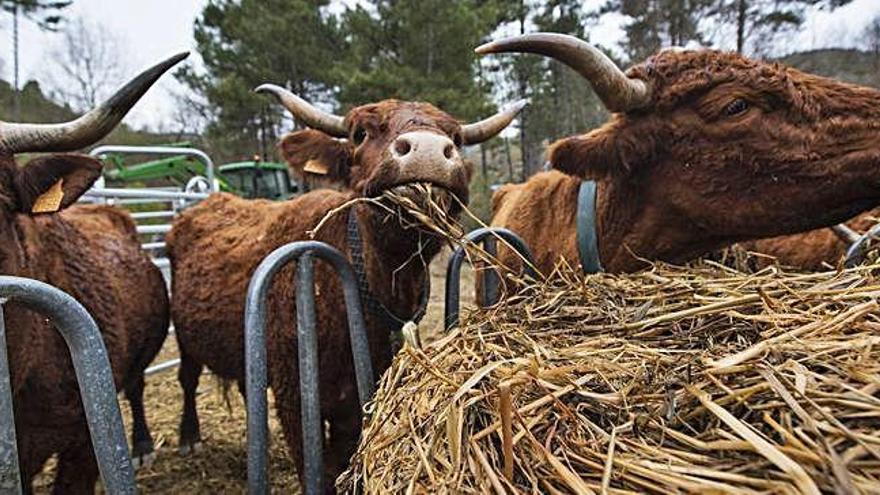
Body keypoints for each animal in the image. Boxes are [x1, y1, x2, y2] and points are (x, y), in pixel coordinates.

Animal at [165, 86, 524, 492]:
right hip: (184, 336)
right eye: (359, 133)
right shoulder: (295, 397)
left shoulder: (352, 404)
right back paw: (189, 438)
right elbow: (315, 469)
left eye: (457, 139)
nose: (428, 150)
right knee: (187, 378)